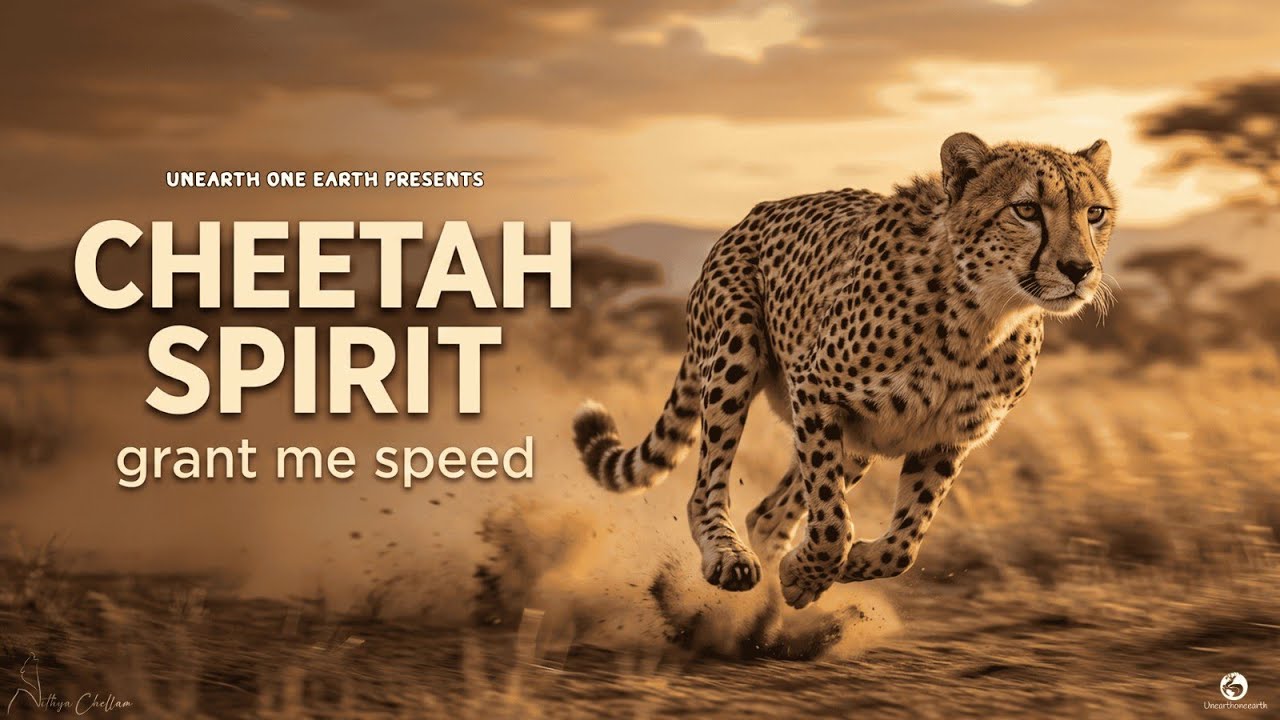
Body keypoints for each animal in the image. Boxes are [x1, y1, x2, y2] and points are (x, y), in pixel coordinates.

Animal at [572, 133, 1116, 608]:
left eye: (1095, 213)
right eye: (1026, 210)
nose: (1079, 270)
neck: (983, 316)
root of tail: (754, 213)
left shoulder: (946, 436)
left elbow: (905, 542)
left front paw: (817, 571)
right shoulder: (815, 393)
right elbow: (833, 521)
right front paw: (818, 565)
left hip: (859, 442)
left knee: (768, 514)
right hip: (735, 353)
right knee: (708, 487)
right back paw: (729, 558)